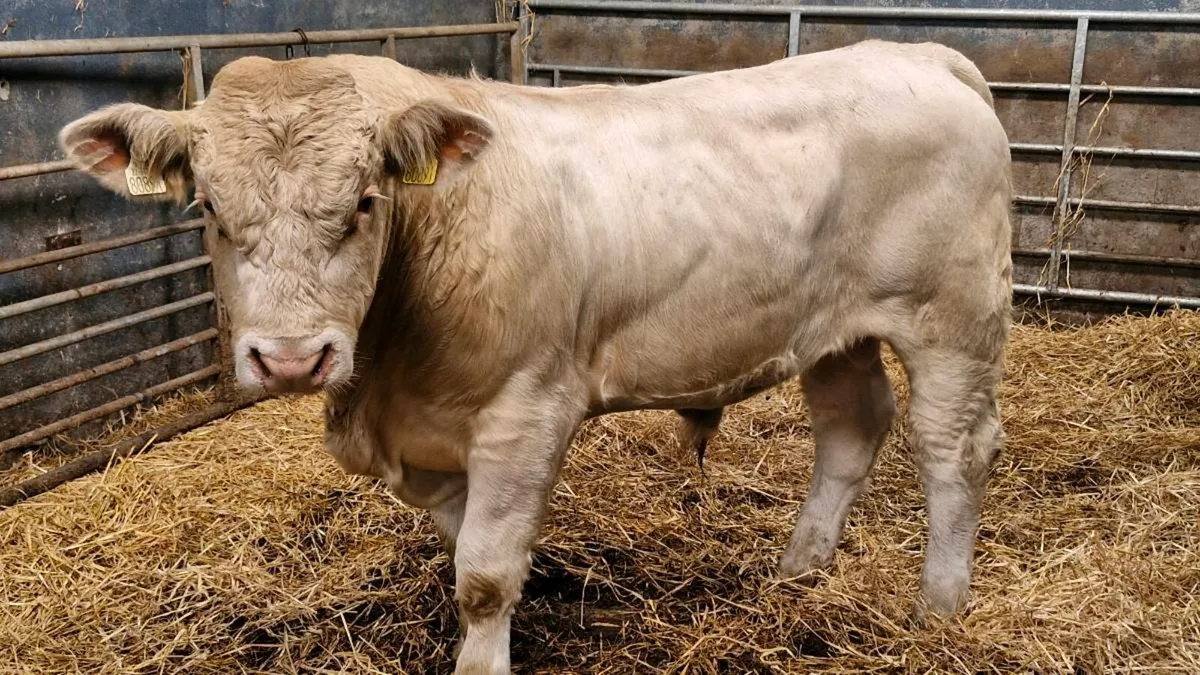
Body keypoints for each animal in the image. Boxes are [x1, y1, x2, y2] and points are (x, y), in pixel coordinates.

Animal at [59, 39, 1012, 673]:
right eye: (210, 207)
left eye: (366, 200)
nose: (292, 359)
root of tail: (919, 54)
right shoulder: (436, 442)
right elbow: (468, 552)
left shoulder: (527, 411)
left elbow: (483, 575)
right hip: (834, 330)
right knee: (851, 429)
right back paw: (798, 568)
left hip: (953, 318)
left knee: (953, 451)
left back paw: (939, 606)